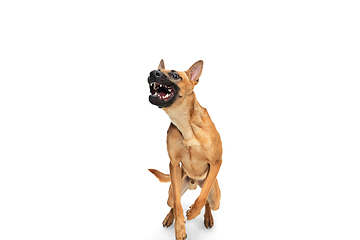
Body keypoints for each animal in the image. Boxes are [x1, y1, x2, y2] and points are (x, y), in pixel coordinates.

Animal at [147, 60, 222, 240]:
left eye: (175, 75)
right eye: (158, 71)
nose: (152, 73)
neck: (185, 123)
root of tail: (194, 182)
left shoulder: (216, 162)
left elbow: (203, 196)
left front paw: (194, 211)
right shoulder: (174, 164)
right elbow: (177, 204)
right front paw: (179, 226)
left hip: (216, 199)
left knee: (208, 200)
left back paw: (207, 216)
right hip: (173, 190)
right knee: (173, 201)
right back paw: (170, 217)